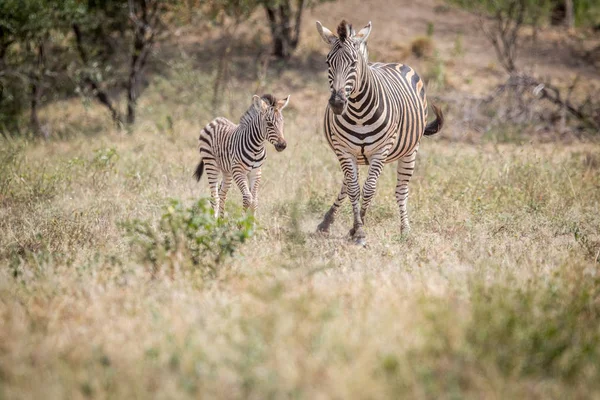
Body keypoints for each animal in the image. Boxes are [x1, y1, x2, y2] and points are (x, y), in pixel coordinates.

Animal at [316, 20, 442, 245]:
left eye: (354, 64)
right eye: (327, 62)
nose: (337, 103)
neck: (358, 112)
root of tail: (391, 62)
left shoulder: (381, 151)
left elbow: (368, 189)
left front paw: (358, 230)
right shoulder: (344, 150)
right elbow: (354, 189)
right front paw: (357, 229)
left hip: (411, 151)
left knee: (401, 191)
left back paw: (405, 230)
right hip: (354, 154)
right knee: (348, 184)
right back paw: (327, 221)